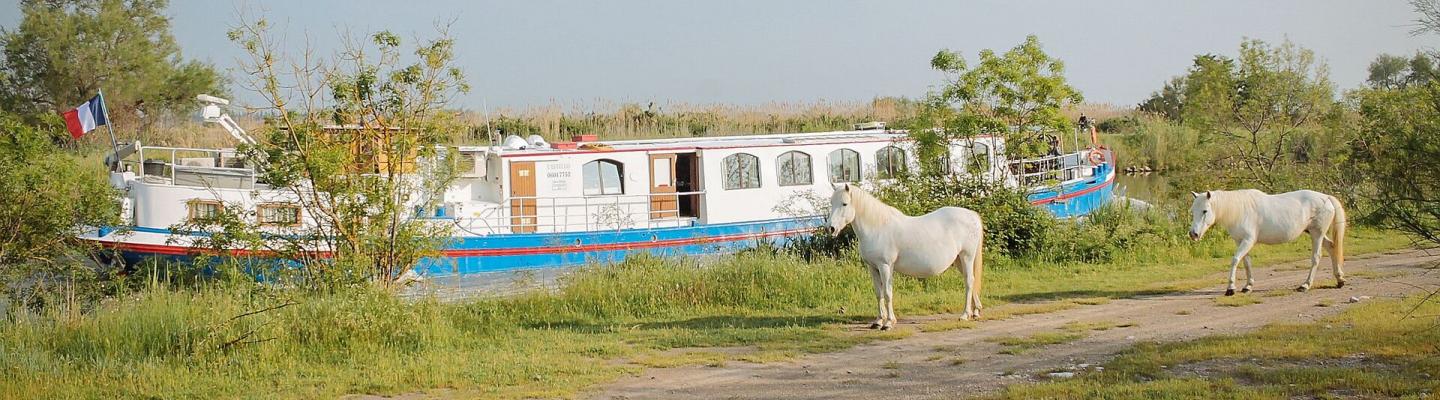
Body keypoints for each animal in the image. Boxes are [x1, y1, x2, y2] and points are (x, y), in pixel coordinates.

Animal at [829, 182, 984, 329]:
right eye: (831, 203)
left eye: (844, 203)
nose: (831, 228)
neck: (877, 227)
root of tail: (972, 215)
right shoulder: (873, 268)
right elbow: (879, 293)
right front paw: (878, 321)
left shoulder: (885, 266)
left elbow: (887, 293)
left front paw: (889, 323)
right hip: (959, 260)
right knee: (971, 280)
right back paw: (975, 311)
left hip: (967, 257)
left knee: (969, 281)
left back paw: (965, 315)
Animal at [1186, 188, 1342, 294]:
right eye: (1192, 211)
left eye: (1205, 211)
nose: (1193, 234)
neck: (1240, 210)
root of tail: (1326, 197)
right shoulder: (1240, 241)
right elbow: (1246, 262)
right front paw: (1248, 286)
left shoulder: (1248, 240)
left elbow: (1235, 260)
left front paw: (1230, 288)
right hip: (1315, 233)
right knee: (1332, 247)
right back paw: (1339, 279)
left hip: (1317, 234)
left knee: (1316, 257)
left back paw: (1305, 285)